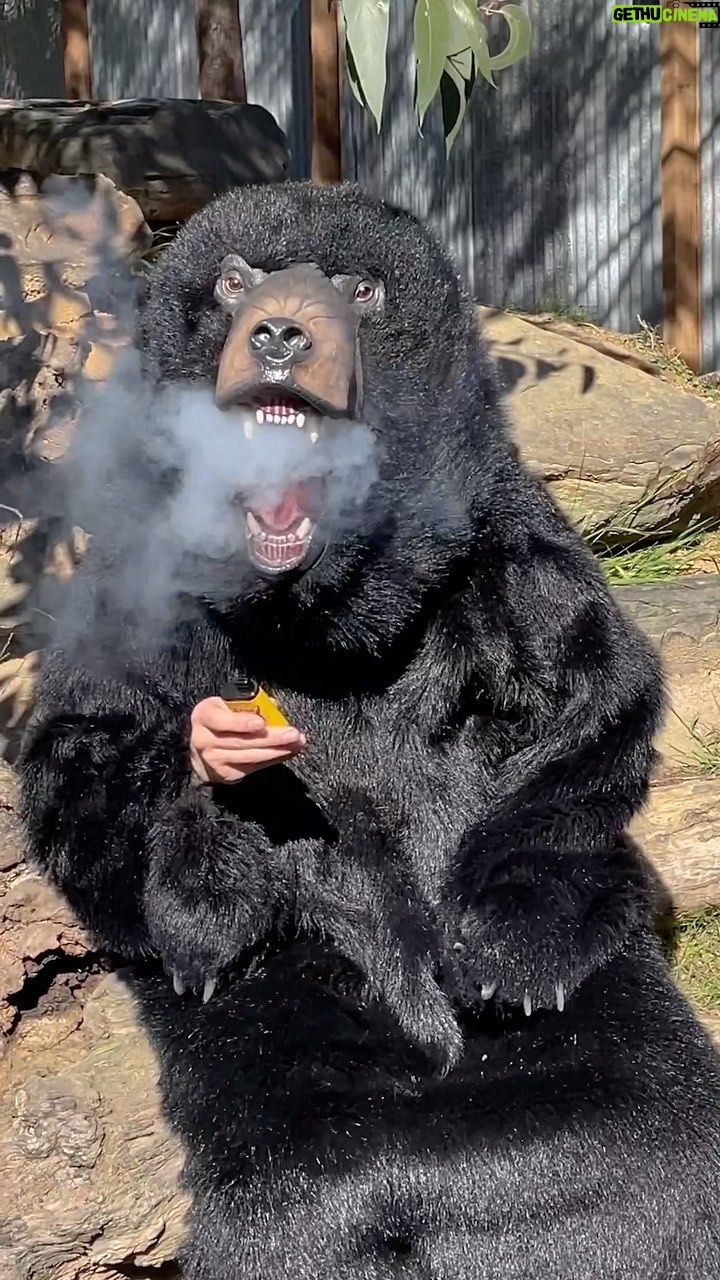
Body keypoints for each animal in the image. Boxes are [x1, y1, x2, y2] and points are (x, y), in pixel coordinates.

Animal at [18, 181, 720, 1279]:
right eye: (236, 279)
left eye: (359, 287)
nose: (278, 331)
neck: (318, 616)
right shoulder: (134, 561)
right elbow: (83, 751)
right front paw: (215, 761)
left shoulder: (497, 531)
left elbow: (586, 701)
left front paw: (507, 955)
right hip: (291, 989)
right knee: (299, 1172)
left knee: (648, 1110)